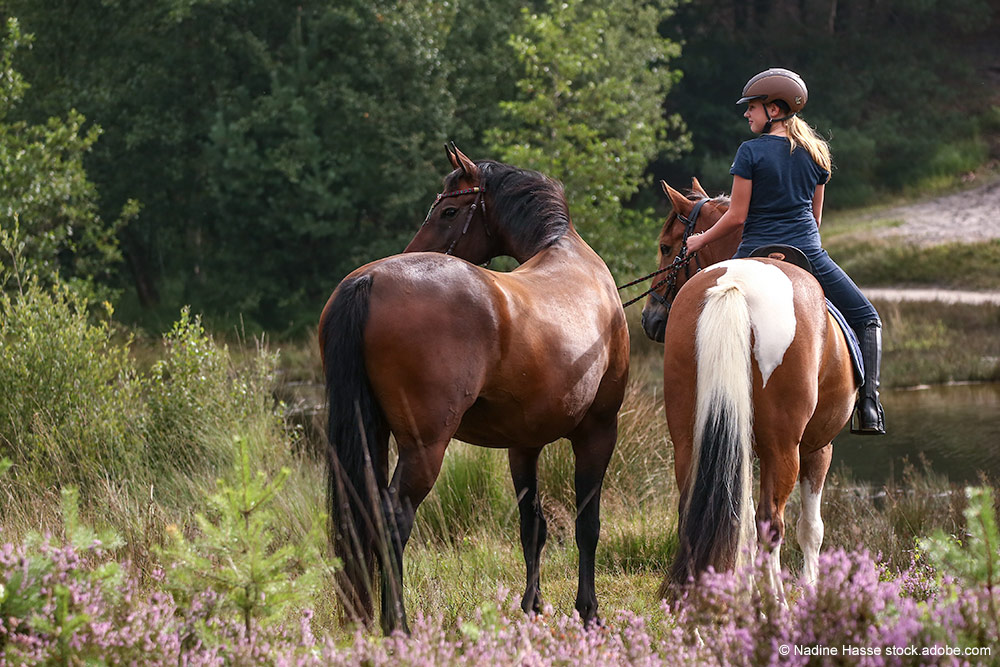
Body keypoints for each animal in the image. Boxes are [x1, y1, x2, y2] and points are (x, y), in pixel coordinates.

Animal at [320, 146, 628, 632]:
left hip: (376, 437)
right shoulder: (598, 430)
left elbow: (532, 525)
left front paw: (532, 605)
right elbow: (587, 525)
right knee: (394, 519)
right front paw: (589, 611)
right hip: (425, 446)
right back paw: (398, 624)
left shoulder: (524, 443)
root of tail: (369, 281)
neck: (568, 253)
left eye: (449, 210)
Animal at [644, 179, 856, 596]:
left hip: (687, 437)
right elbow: (811, 529)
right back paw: (776, 603)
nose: (650, 318)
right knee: (771, 522)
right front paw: (810, 588)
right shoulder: (818, 447)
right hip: (783, 447)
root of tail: (735, 283)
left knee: (693, 508)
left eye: (665, 246)